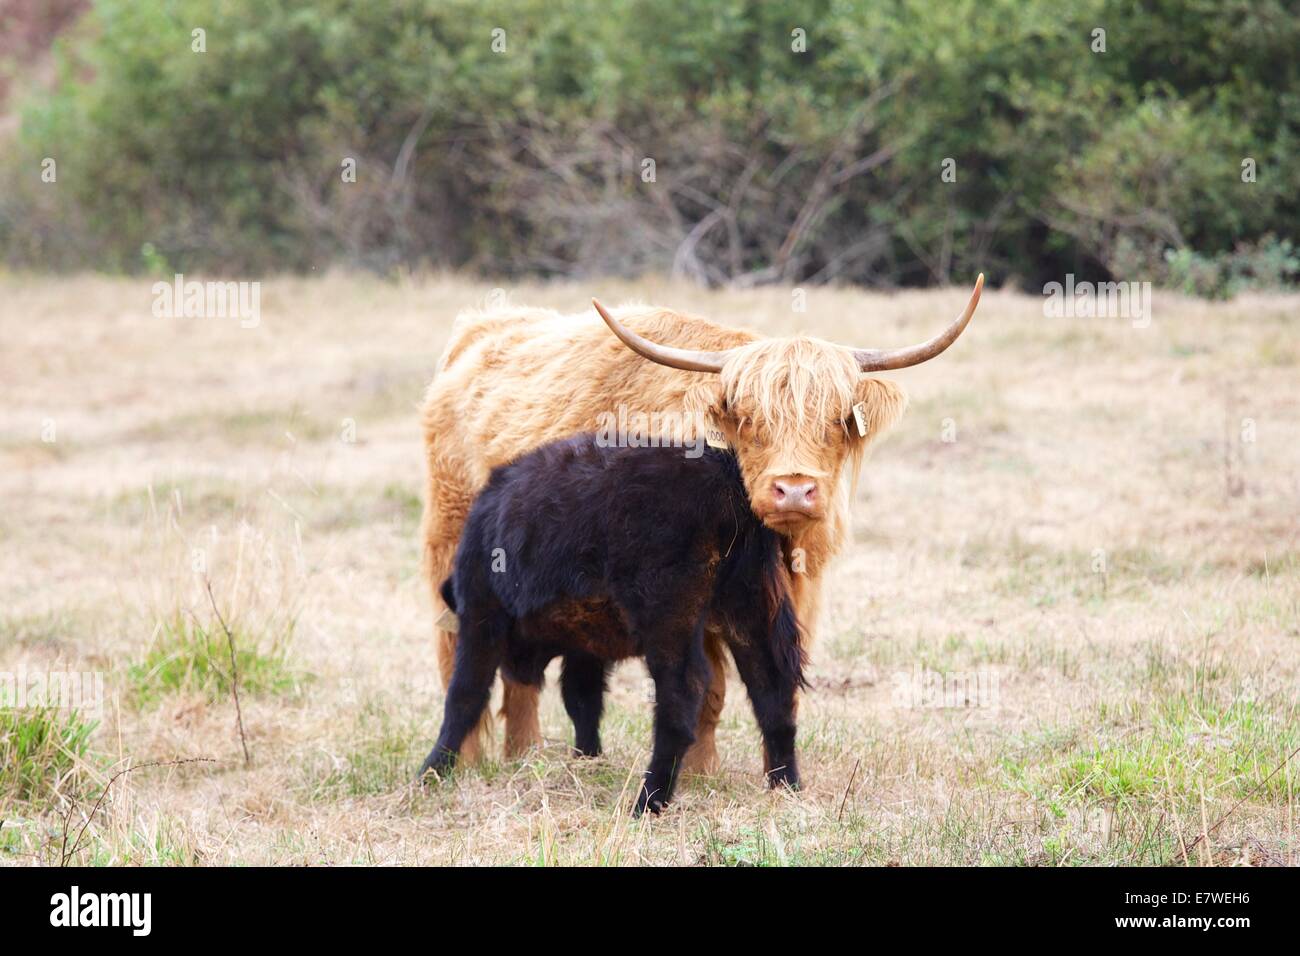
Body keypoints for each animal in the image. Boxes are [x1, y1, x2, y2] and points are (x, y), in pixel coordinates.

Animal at [418, 435, 806, 816]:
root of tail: (723, 470)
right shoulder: (586, 646)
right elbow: (582, 700)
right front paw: (587, 758)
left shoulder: (481, 615)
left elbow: (464, 695)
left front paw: (430, 771)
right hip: (748, 612)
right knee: (772, 689)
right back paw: (785, 784)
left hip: (671, 620)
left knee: (683, 694)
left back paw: (648, 801)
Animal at [420, 276, 982, 770]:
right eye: (748, 418)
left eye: (837, 419)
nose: (793, 489)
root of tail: (481, 330)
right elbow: (709, 687)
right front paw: (701, 770)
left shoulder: (801, 590)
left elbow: (779, 680)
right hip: (454, 543)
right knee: (461, 660)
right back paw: (469, 760)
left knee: (522, 671)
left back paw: (525, 755)